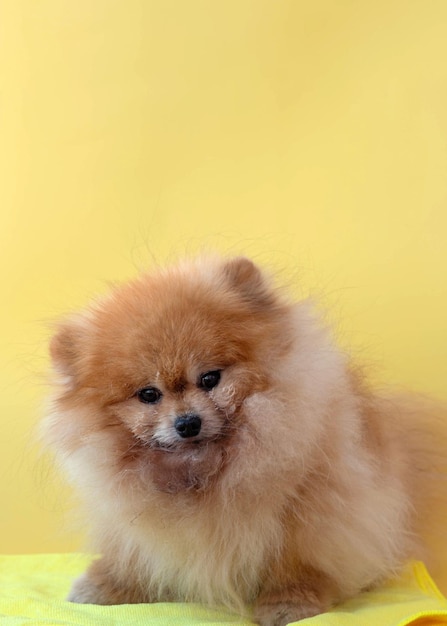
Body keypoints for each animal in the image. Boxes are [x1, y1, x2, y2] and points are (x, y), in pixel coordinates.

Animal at [43, 255, 446, 624]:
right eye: (148, 395)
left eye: (210, 378)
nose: (187, 422)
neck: (207, 474)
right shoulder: (136, 522)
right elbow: (133, 555)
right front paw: (106, 586)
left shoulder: (312, 511)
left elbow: (298, 562)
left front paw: (289, 602)